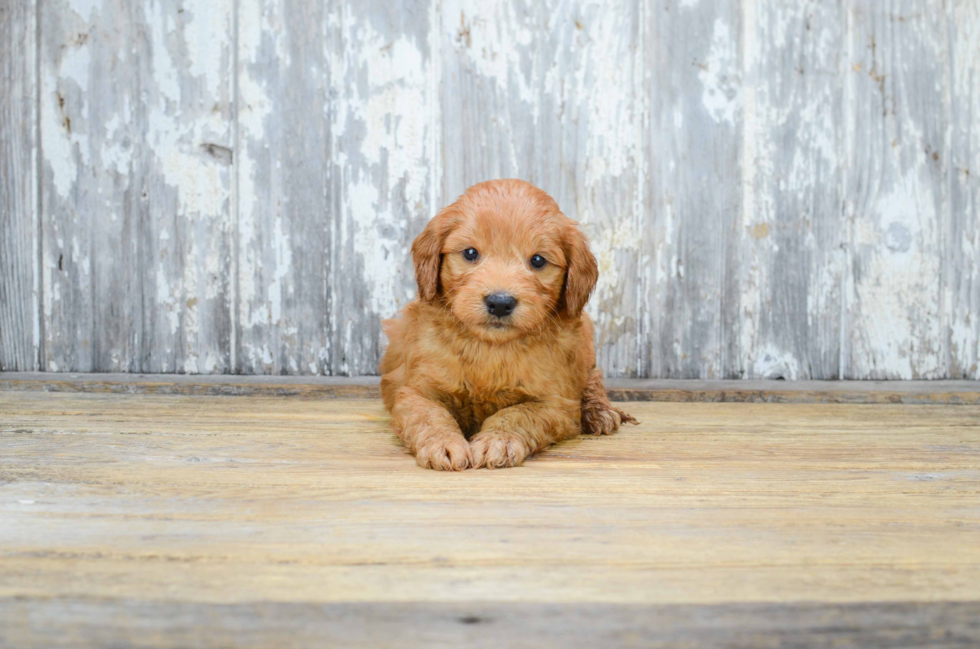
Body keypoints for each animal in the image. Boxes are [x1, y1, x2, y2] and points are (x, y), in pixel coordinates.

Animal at [376, 180, 636, 468]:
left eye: (538, 260)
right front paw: (442, 443)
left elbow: (517, 414)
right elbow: (429, 415)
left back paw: (599, 411)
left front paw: (497, 441)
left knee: (593, 379)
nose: (500, 303)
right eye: (470, 253)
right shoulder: (414, 392)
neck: (489, 347)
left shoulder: (555, 404)